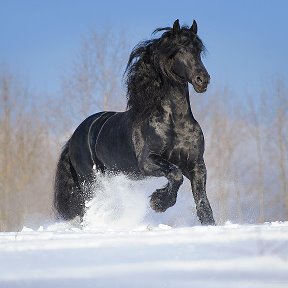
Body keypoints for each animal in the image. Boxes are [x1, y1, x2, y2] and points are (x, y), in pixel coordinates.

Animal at [54, 20, 215, 226]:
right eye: (178, 49)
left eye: (198, 50)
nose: (203, 80)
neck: (175, 123)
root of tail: (74, 136)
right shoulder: (147, 162)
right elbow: (176, 175)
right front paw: (158, 202)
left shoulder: (196, 164)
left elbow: (202, 202)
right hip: (90, 181)